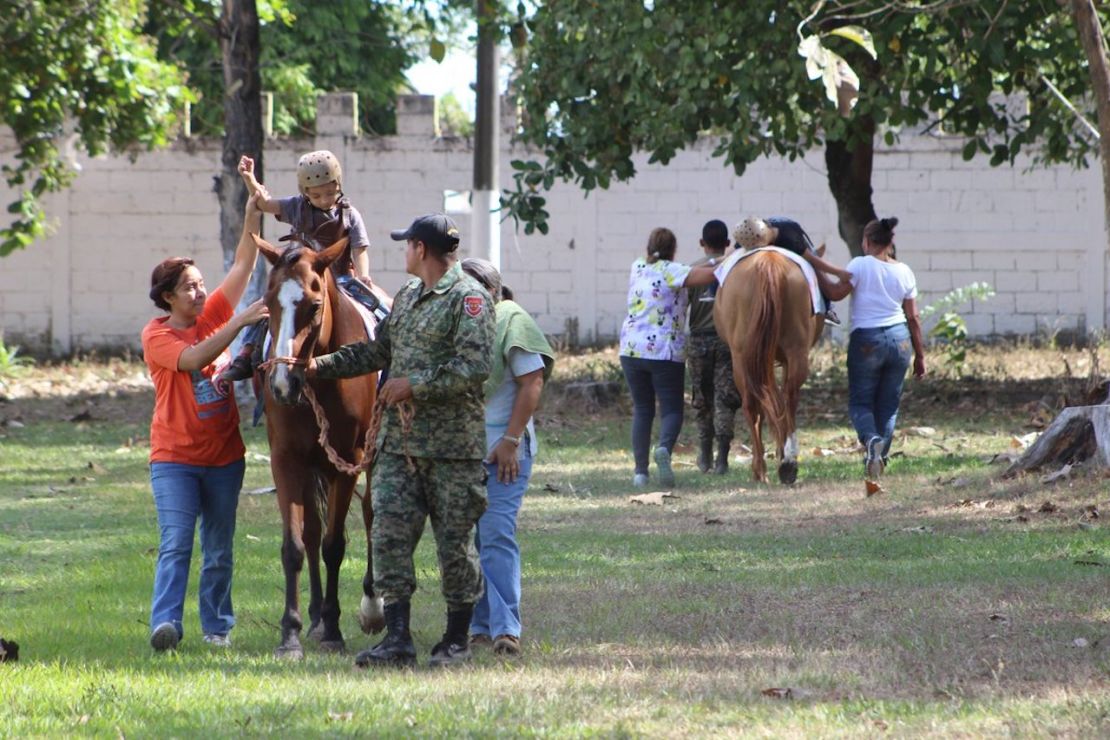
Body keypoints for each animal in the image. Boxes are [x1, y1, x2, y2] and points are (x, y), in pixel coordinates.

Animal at [253, 234, 386, 656]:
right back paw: (313, 618)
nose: (282, 384)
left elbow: (334, 545)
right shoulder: (287, 460)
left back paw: (371, 605)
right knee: (312, 532)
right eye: (269, 300)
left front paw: (334, 629)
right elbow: (296, 545)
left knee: (371, 513)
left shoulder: (348, 461)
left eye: (313, 305)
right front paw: (291, 631)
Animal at [710, 250, 825, 485]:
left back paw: (762, 469)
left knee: (753, 406)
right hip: (794, 351)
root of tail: (768, 263)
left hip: (742, 358)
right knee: (787, 397)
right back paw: (787, 463)